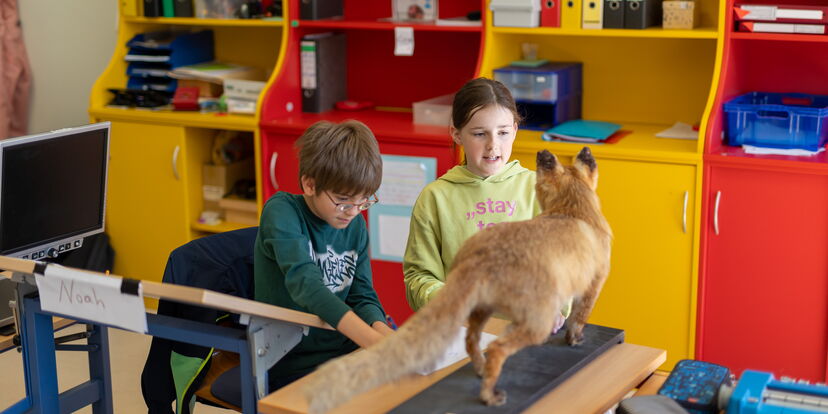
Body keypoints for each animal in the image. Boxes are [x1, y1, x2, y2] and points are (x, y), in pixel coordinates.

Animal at [304, 147, 612, 413]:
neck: (572, 210)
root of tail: (483, 257)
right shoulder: (593, 283)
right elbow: (579, 318)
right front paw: (575, 339)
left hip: (481, 309)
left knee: (471, 341)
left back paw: (480, 369)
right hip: (537, 323)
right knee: (497, 349)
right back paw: (489, 394)